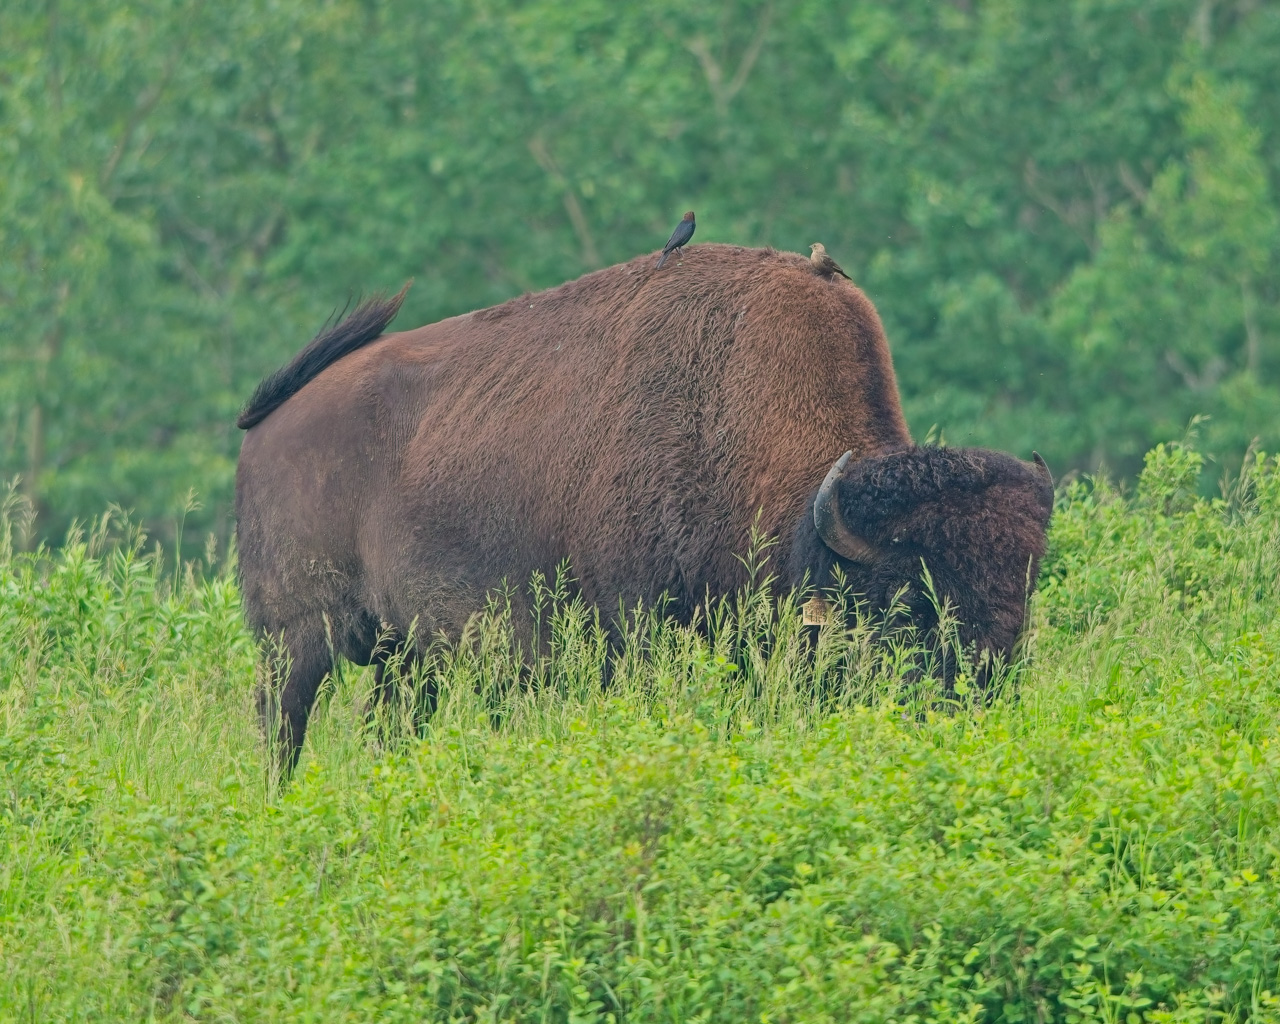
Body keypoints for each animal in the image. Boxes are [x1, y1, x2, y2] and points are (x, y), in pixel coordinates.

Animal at [236, 244, 1054, 768]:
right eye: (910, 609)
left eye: (1017, 607)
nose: (977, 703)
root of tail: (270, 425)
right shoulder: (633, 631)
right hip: (297, 639)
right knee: (284, 726)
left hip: (407, 653)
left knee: (391, 723)